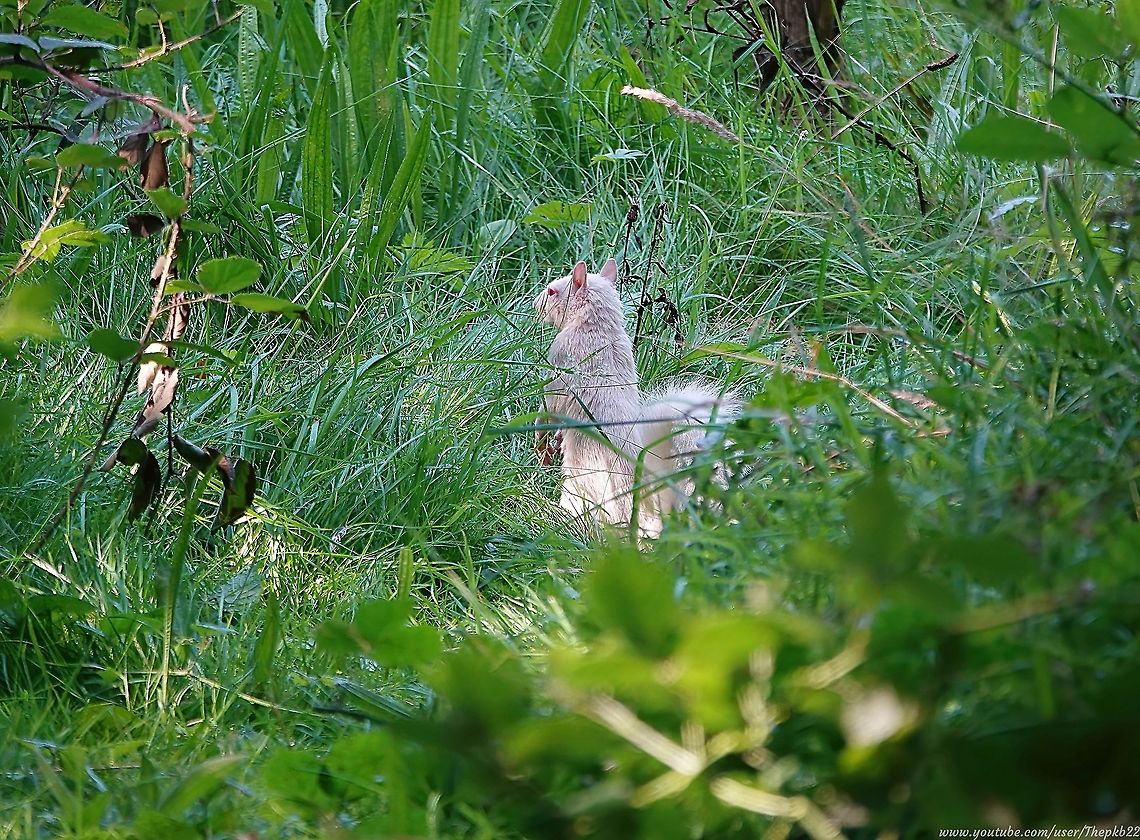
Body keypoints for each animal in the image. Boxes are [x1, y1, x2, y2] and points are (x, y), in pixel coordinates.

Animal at [533, 258, 740, 538]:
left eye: (553, 291)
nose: (535, 304)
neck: (599, 328)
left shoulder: (561, 360)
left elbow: (550, 407)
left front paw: (543, 443)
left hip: (581, 485)